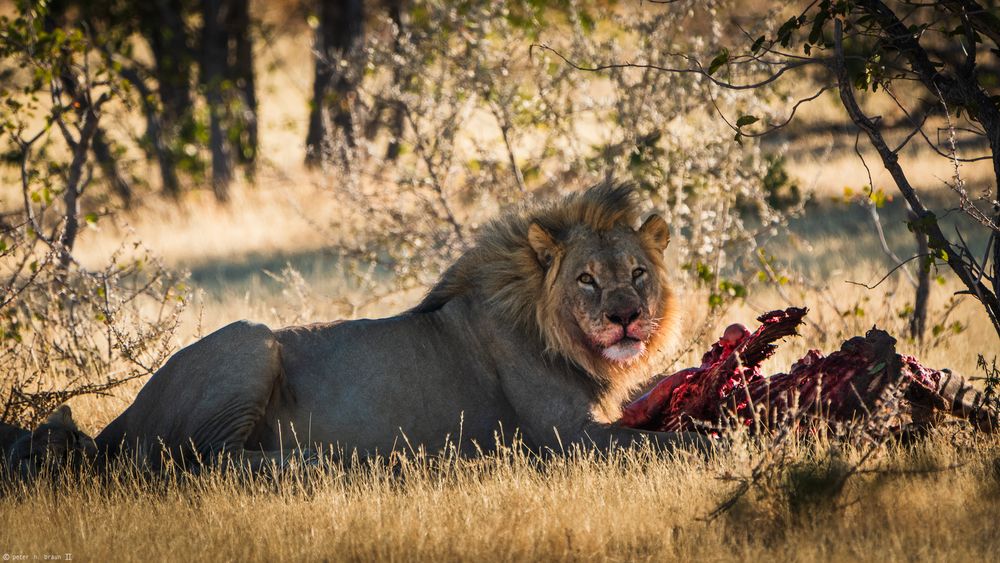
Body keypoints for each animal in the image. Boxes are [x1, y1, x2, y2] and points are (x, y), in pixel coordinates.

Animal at [92, 182, 704, 468]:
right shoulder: (568, 436)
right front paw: (717, 439)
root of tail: (121, 419)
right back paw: (329, 462)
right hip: (252, 340)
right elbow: (664, 444)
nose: (625, 317)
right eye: (586, 280)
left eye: (637, 272)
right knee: (200, 462)